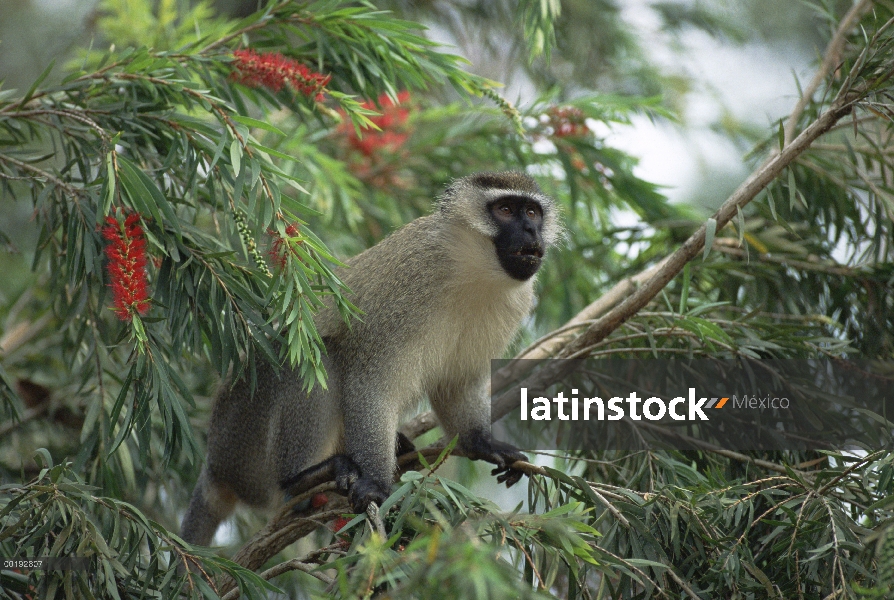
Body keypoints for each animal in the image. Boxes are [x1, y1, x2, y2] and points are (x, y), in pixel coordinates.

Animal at [180, 171, 560, 548]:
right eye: (506, 210)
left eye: (532, 213)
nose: (531, 230)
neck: (473, 270)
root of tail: (215, 464)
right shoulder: (408, 285)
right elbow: (372, 385)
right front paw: (376, 483)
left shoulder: (513, 304)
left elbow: (457, 384)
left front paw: (482, 442)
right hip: (246, 445)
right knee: (319, 358)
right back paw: (301, 480)